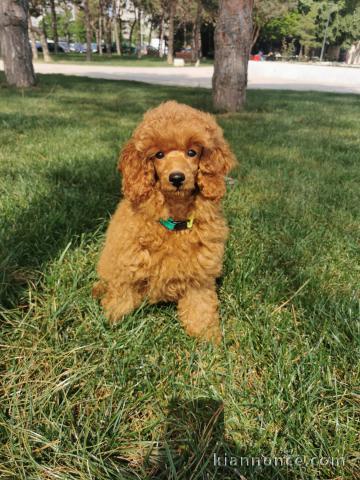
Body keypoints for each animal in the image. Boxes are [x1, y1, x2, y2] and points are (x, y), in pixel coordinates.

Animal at [93, 100, 236, 342]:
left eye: (192, 152)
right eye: (158, 154)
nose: (177, 178)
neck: (174, 217)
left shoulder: (200, 275)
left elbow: (200, 307)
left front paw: (208, 338)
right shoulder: (129, 261)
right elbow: (121, 296)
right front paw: (111, 323)